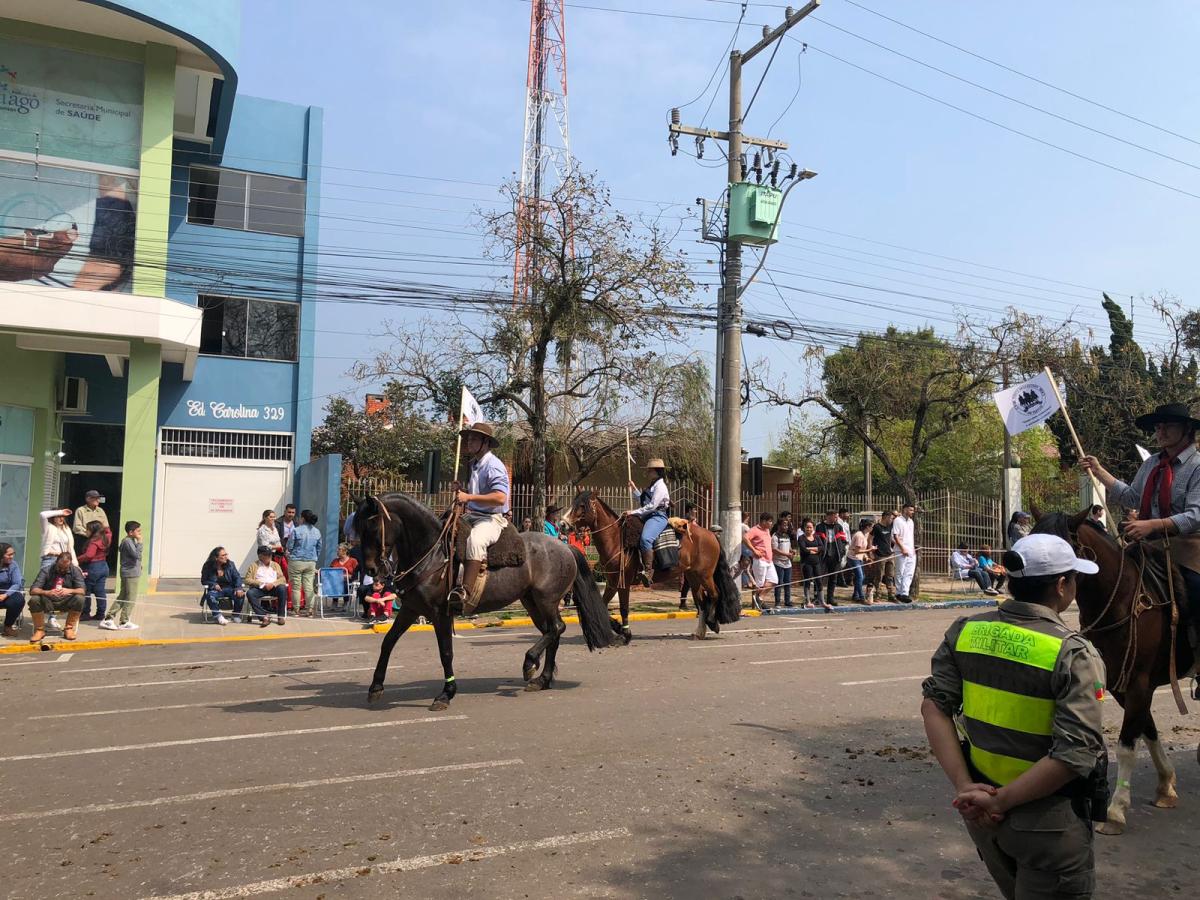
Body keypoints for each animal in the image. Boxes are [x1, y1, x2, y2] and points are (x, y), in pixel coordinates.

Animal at [354, 493, 615, 711]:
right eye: (359, 528)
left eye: (373, 527)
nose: (371, 569)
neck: (432, 554)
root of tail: (564, 546)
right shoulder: (410, 609)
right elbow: (388, 642)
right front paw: (376, 687)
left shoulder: (440, 614)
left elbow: (445, 653)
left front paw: (446, 693)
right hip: (532, 602)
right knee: (551, 633)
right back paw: (542, 678)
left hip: (546, 600)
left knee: (557, 628)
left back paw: (530, 662)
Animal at [562, 490, 741, 641]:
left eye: (582, 506)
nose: (563, 524)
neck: (616, 540)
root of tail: (711, 534)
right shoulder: (612, 583)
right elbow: (604, 606)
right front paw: (618, 628)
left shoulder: (623, 583)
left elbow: (624, 608)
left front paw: (626, 633)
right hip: (693, 577)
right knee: (702, 602)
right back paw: (700, 632)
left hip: (705, 575)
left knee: (715, 594)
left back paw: (712, 622)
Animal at [1034, 510, 1197, 834]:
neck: (1121, 600)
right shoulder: (1121, 686)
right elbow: (1148, 730)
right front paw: (1166, 785)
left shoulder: (1139, 685)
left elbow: (1126, 745)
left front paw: (1116, 811)